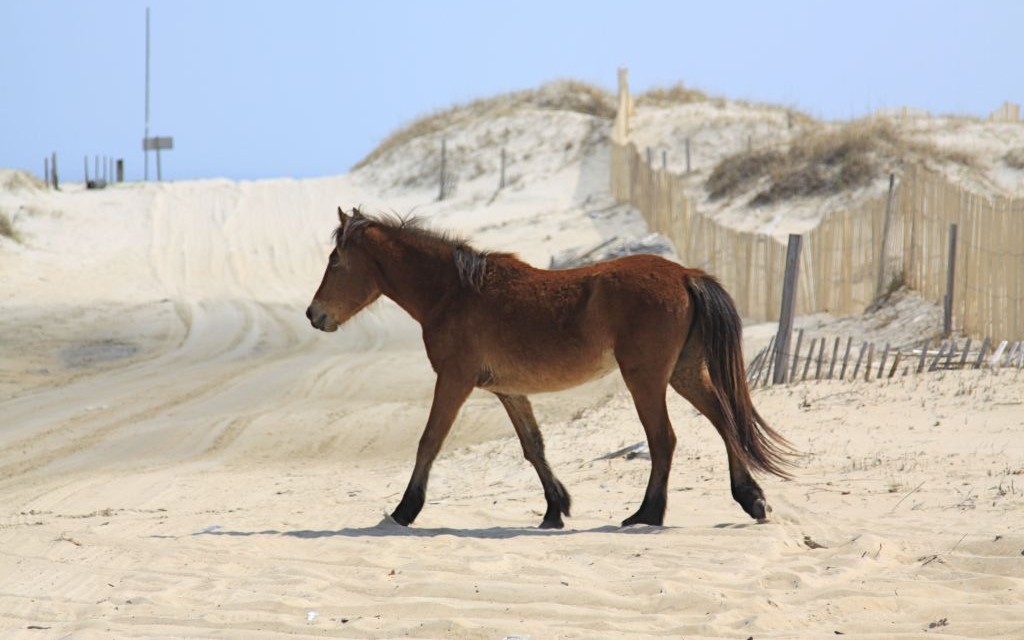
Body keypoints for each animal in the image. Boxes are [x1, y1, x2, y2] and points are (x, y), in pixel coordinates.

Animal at [305, 206, 790, 528]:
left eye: (335, 261)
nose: (314, 315)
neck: (454, 293)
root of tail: (686, 274)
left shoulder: (454, 381)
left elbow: (429, 442)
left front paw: (405, 510)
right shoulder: (509, 391)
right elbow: (533, 447)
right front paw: (556, 508)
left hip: (647, 378)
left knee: (664, 439)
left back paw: (647, 514)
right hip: (683, 373)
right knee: (725, 422)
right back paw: (751, 500)